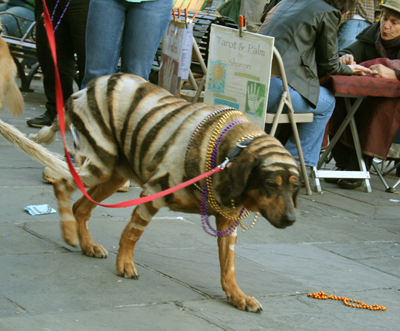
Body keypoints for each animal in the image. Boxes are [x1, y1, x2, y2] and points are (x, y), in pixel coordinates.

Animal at [0, 73, 300, 314]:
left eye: (294, 187)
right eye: (271, 184)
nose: (291, 220)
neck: (227, 154)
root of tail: (82, 90)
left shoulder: (228, 224)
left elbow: (229, 266)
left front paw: (237, 296)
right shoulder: (153, 194)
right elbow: (132, 234)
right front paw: (124, 264)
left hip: (113, 174)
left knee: (81, 208)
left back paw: (87, 244)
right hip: (99, 164)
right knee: (62, 183)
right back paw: (68, 232)